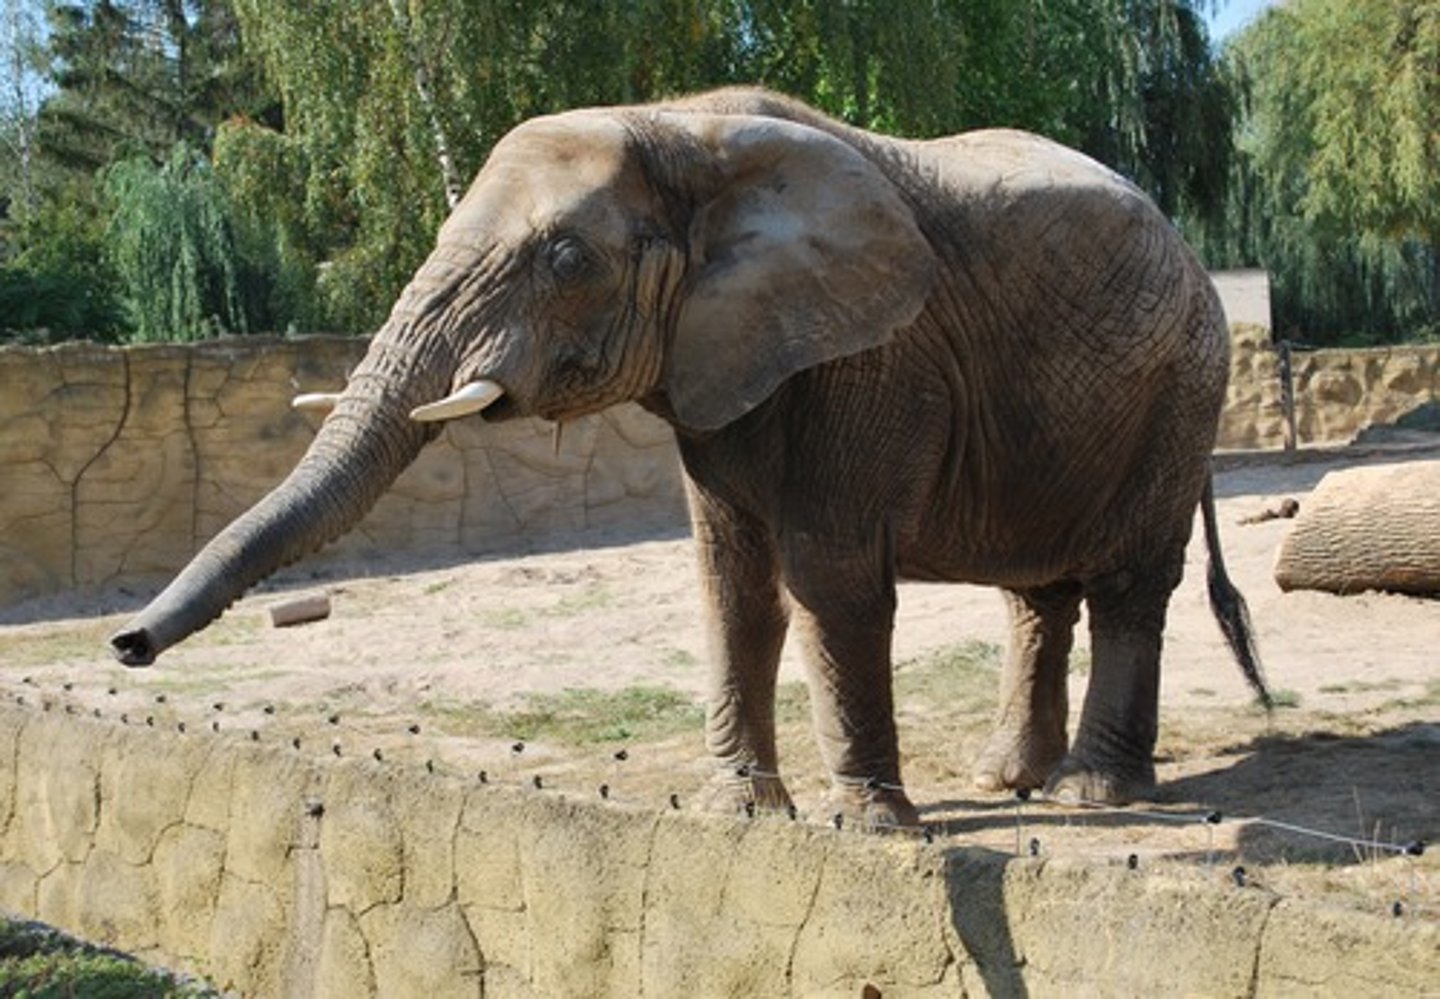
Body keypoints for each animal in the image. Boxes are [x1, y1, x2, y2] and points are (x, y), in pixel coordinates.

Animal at [109, 87, 1268, 827]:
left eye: (565, 257)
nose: (124, 644)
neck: (682, 124)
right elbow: (730, 580)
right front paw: (746, 813)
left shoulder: (872, 355)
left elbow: (830, 575)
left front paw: (870, 829)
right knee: (1037, 594)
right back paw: (1003, 785)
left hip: (1181, 390)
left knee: (1128, 585)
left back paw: (1093, 795)